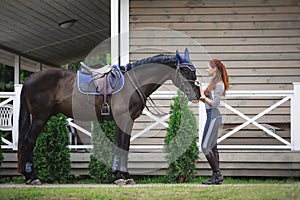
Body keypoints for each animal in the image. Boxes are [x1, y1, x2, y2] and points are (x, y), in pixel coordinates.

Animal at [18, 48, 202, 184]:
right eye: (185, 71)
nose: (197, 94)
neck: (132, 84)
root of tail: (29, 80)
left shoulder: (128, 121)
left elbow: (124, 146)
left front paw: (125, 176)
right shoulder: (122, 119)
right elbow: (120, 146)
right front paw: (120, 177)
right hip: (40, 117)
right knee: (28, 142)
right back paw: (33, 178)